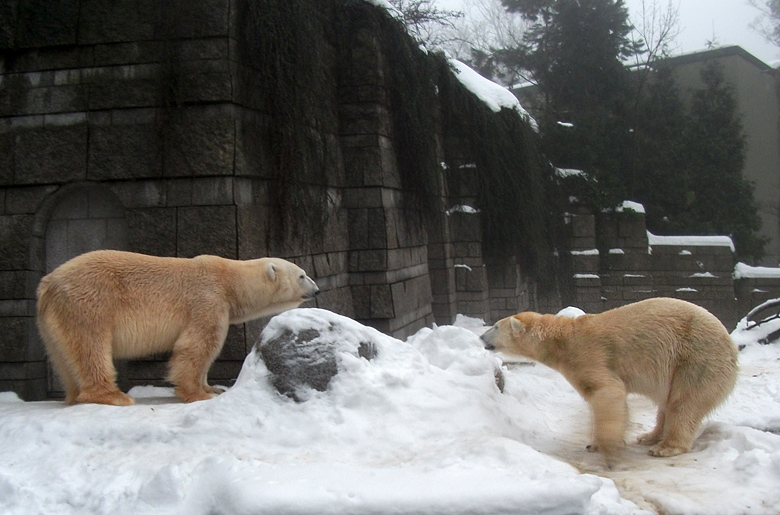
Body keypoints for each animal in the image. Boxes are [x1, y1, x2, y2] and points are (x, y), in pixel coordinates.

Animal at [38, 251, 318, 408]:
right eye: (302, 275)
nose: (316, 289)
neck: (230, 280)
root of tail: (47, 284)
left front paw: (212, 388)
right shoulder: (207, 299)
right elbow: (197, 344)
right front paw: (198, 395)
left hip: (54, 322)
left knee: (65, 356)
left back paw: (73, 395)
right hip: (90, 303)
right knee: (91, 346)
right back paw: (114, 396)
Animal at [478, 296, 740, 462]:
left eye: (495, 326)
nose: (481, 337)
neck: (563, 339)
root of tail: (731, 346)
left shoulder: (589, 355)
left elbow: (607, 391)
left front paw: (602, 445)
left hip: (696, 359)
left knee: (683, 402)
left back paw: (666, 447)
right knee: (667, 403)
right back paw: (649, 436)